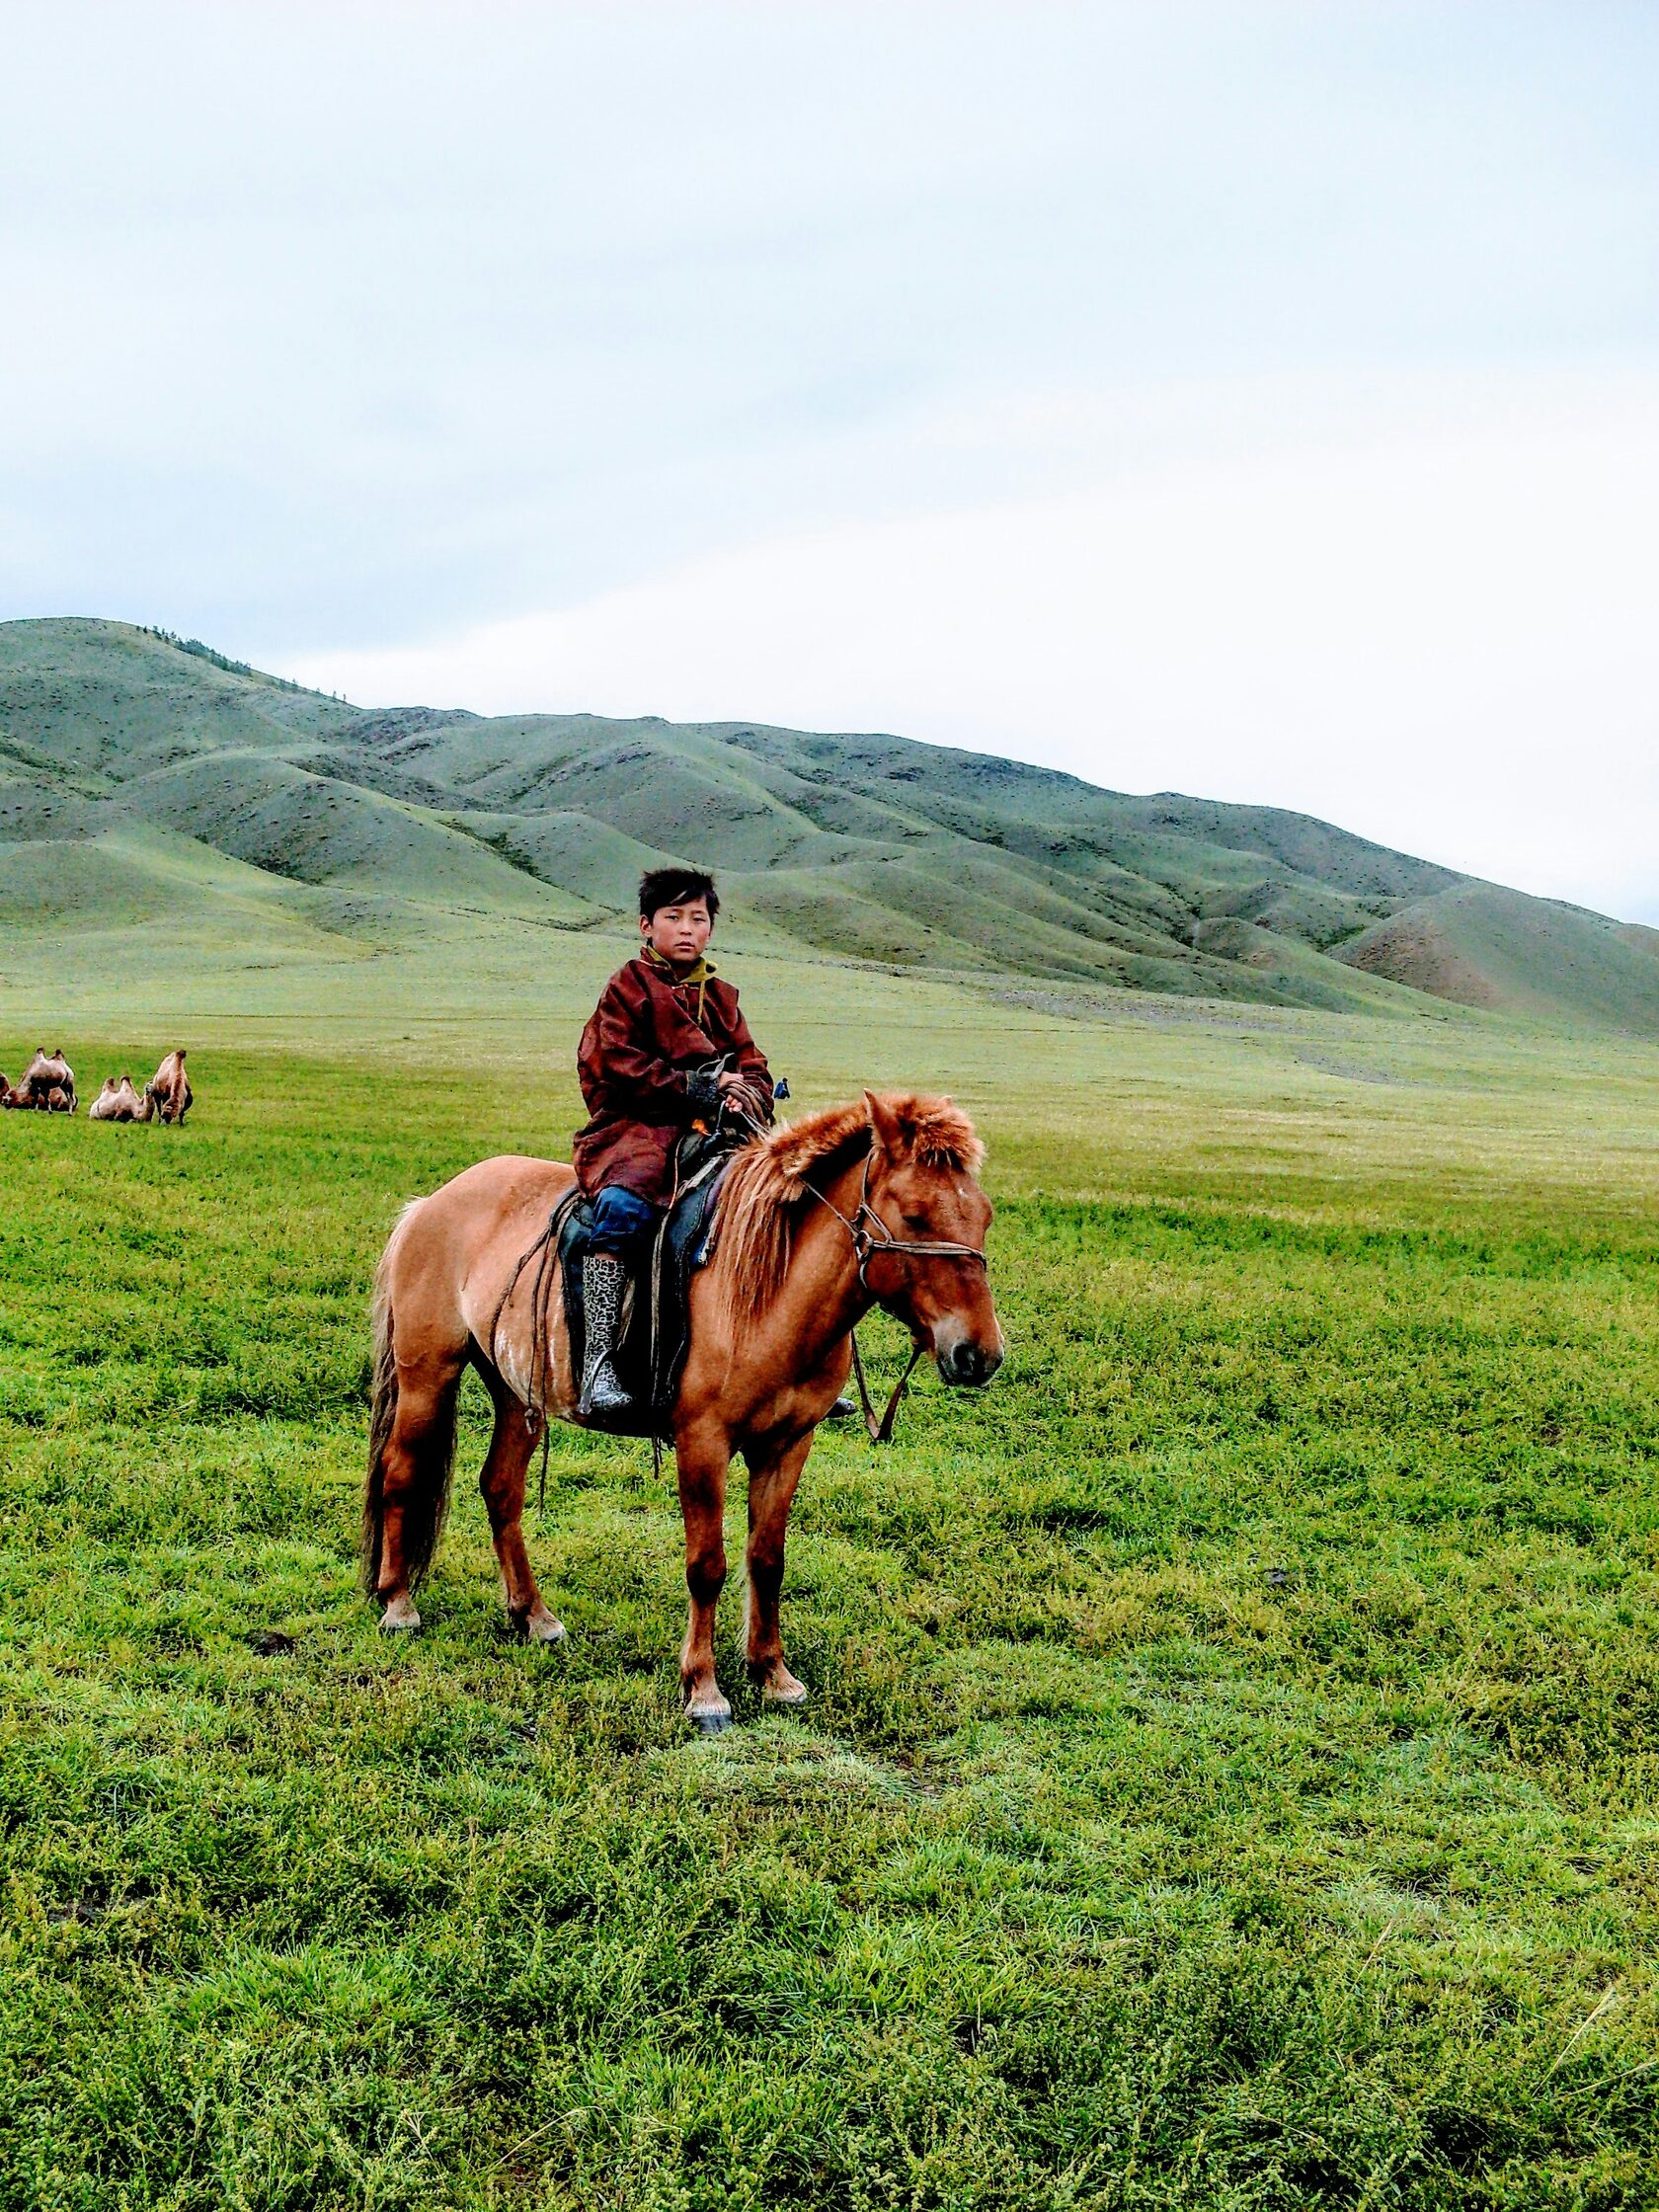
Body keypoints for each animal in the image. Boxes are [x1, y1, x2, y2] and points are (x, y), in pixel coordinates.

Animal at [362, 1088, 1008, 1725]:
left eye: (984, 1217)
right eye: (915, 1216)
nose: (978, 1354)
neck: (766, 1289)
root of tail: (431, 1204)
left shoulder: (788, 1443)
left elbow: (766, 1558)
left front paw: (772, 1674)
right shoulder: (703, 1442)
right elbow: (707, 1565)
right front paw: (704, 1690)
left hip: (517, 1392)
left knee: (500, 1490)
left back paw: (534, 1616)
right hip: (428, 1375)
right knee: (401, 1473)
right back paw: (397, 1603)